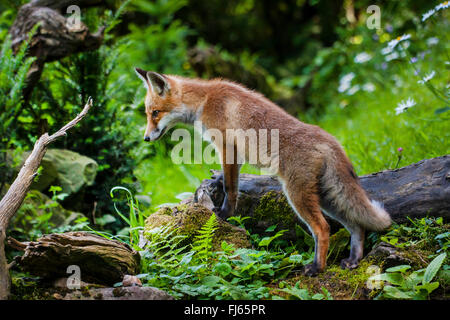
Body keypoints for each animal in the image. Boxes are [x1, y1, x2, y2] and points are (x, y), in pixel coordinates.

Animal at [134, 67, 390, 276]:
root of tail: (329, 139)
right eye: (148, 113)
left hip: (297, 194)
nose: (145, 138)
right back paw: (354, 260)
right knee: (356, 225)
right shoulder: (234, 152)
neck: (203, 101)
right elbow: (227, 180)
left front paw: (224, 214)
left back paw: (317, 268)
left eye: (155, 113)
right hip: (327, 197)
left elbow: (231, 188)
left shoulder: (227, 146)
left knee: (323, 228)